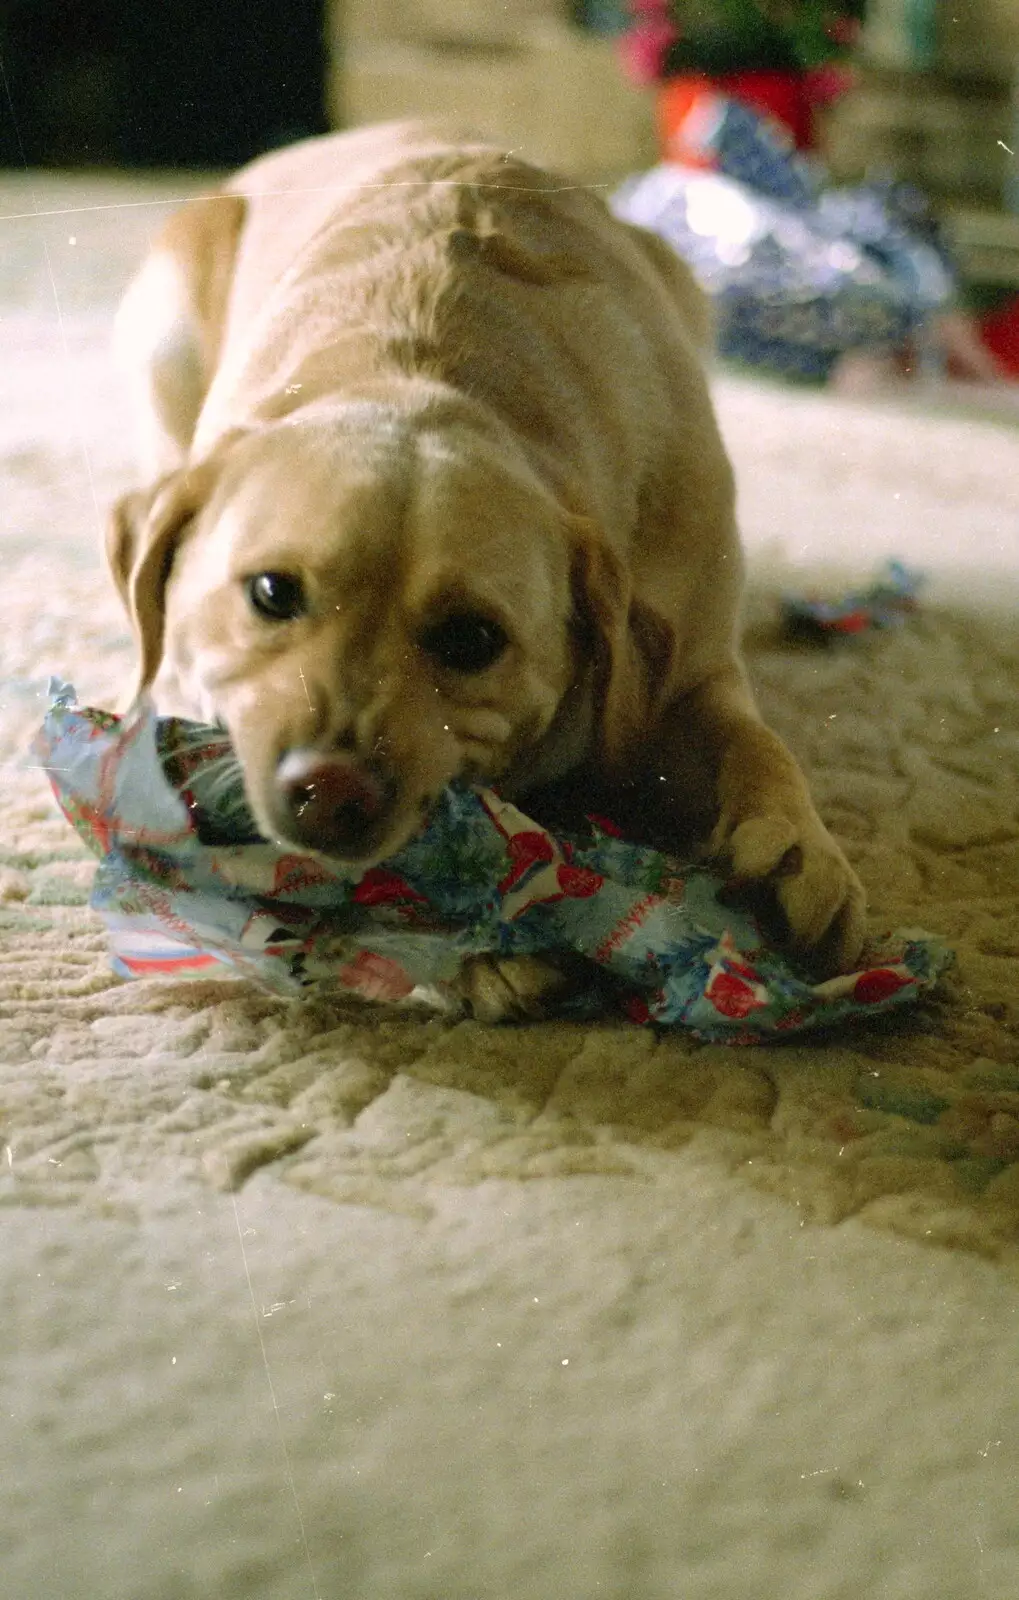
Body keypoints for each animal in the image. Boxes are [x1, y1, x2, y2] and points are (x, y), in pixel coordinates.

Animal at [107, 124, 863, 1024]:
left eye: (471, 639)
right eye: (270, 594)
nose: (329, 792)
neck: (435, 361)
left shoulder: (689, 673)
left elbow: (756, 745)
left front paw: (796, 850)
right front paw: (475, 952)